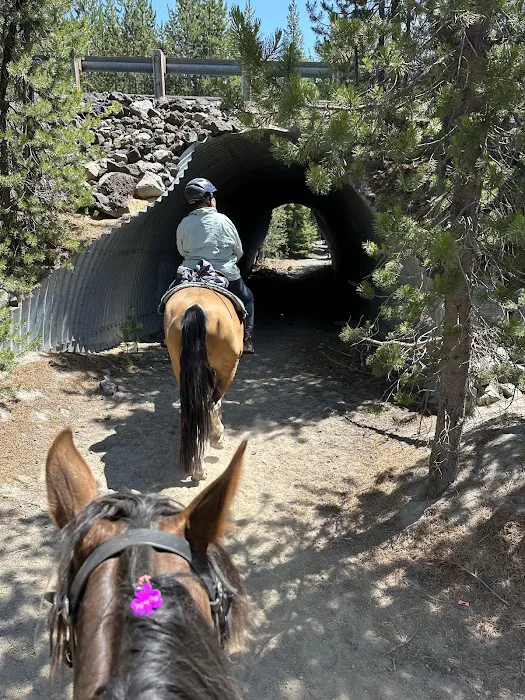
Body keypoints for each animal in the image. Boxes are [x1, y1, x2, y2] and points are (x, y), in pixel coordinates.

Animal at [164, 287, 244, 480]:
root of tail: (195, 307)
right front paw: (217, 436)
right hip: (228, 369)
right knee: (210, 404)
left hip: (179, 367)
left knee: (195, 409)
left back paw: (197, 466)